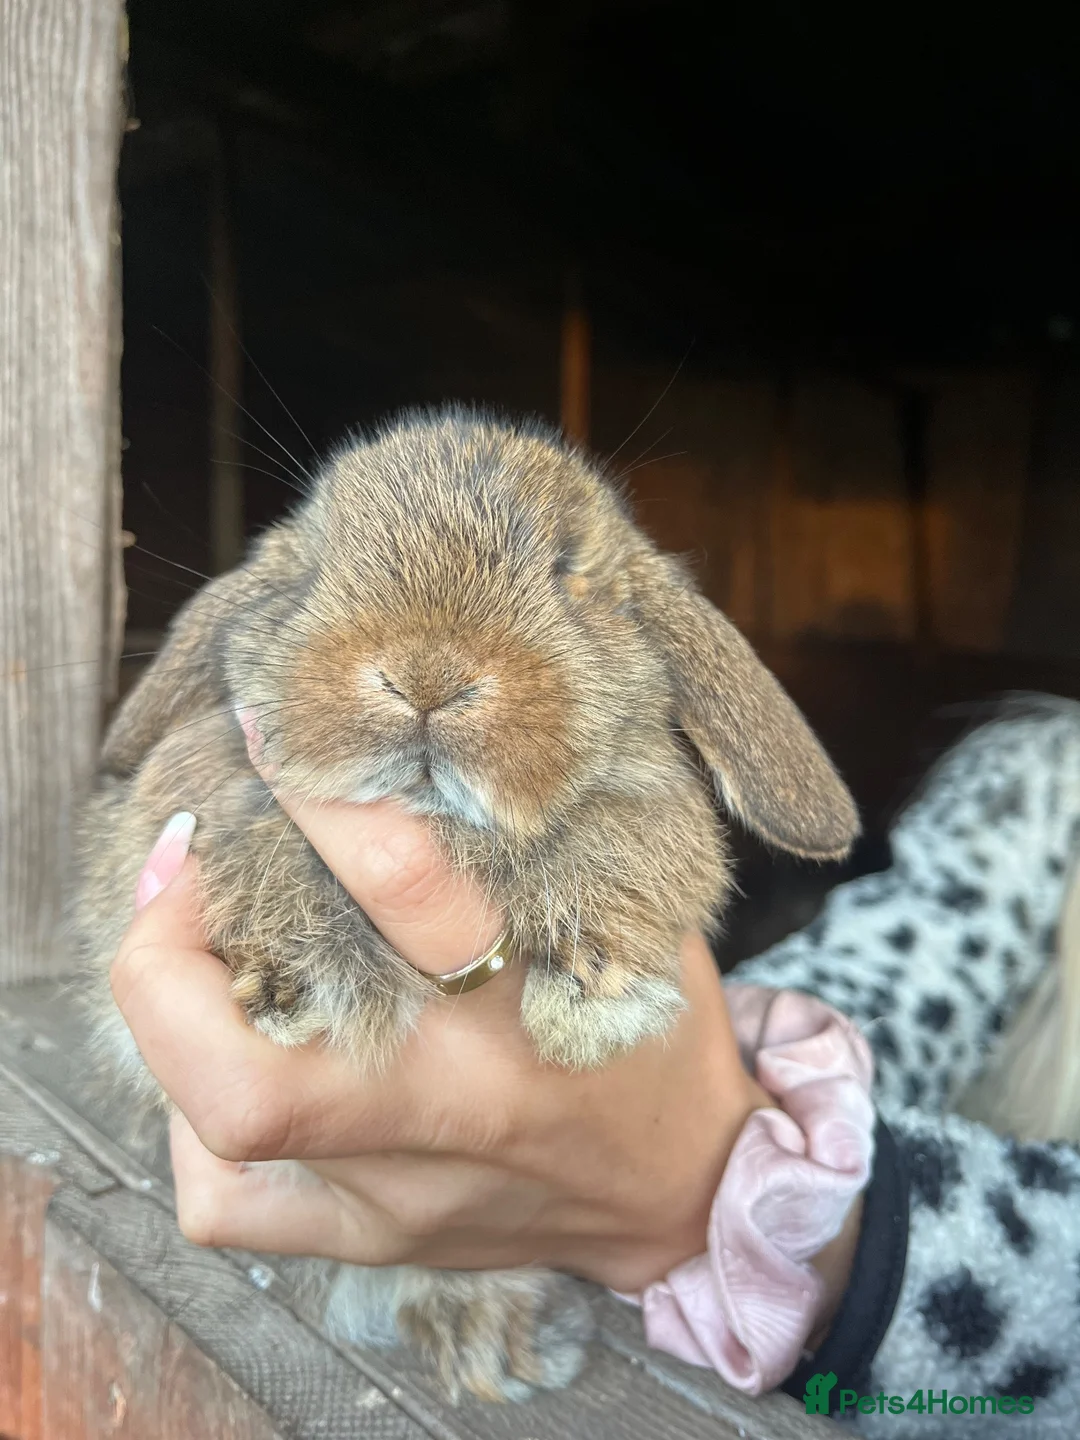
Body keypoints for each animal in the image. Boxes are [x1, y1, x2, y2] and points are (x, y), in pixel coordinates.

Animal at [74, 405, 859, 1402]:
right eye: (319, 564)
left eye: (569, 571)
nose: (427, 676)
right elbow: (256, 845)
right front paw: (287, 978)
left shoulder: (646, 812)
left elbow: (635, 844)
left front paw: (592, 995)